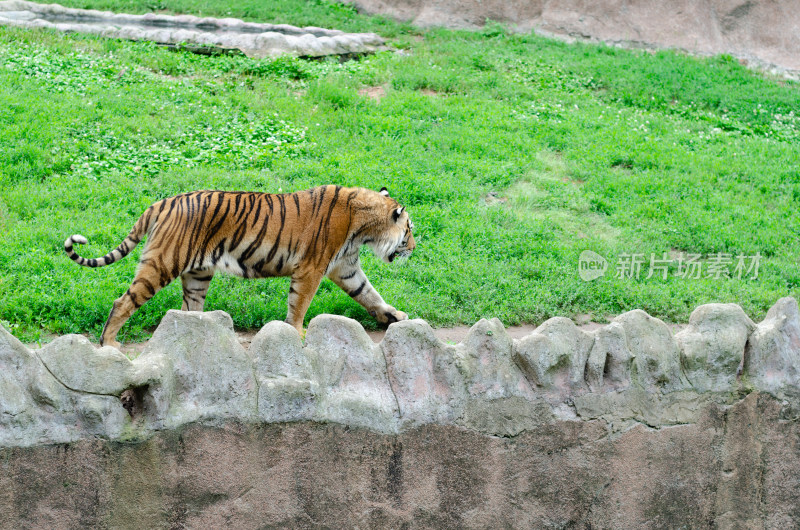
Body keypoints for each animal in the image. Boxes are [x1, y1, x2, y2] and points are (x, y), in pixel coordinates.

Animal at [65, 184, 416, 348]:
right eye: (409, 230)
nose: (413, 248)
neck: (364, 229)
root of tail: (163, 202)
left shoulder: (345, 267)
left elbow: (370, 294)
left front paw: (395, 316)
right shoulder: (312, 268)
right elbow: (300, 304)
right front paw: (297, 332)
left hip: (197, 274)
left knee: (187, 311)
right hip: (162, 263)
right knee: (122, 301)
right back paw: (109, 343)